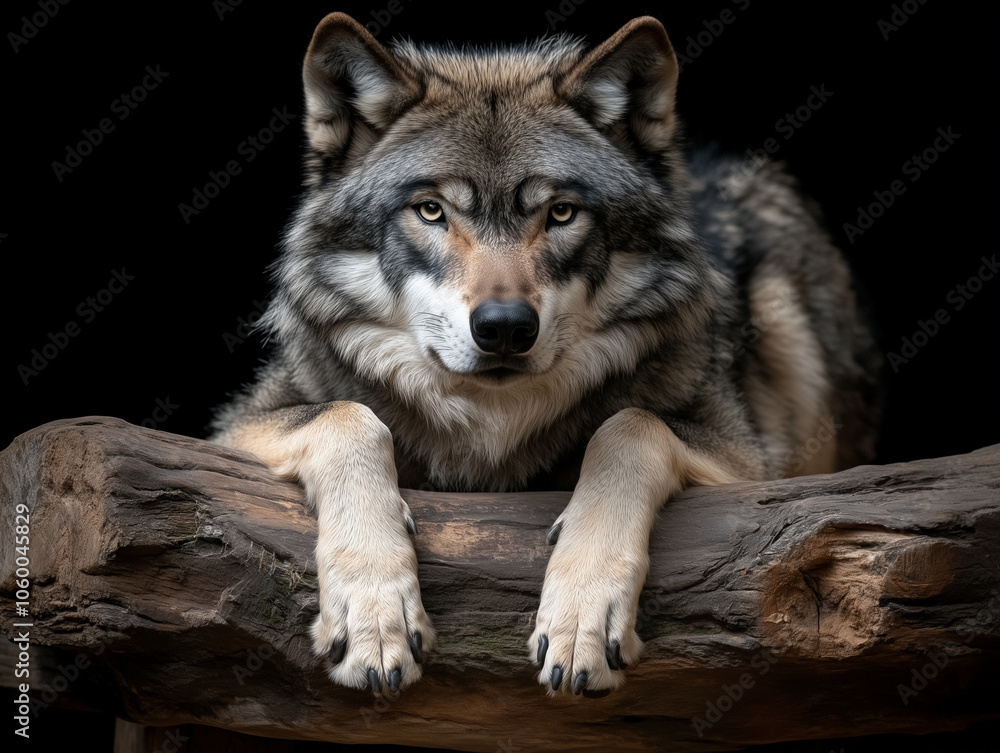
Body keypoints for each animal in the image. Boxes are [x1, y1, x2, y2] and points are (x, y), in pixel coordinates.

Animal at [211, 13, 880, 698]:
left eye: (560, 212)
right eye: (432, 210)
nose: (505, 328)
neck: (493, 432)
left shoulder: (753, 468)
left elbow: (628, 427)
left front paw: (581, 616)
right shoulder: (232, 431)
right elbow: (350, 417)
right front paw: (374, 617)